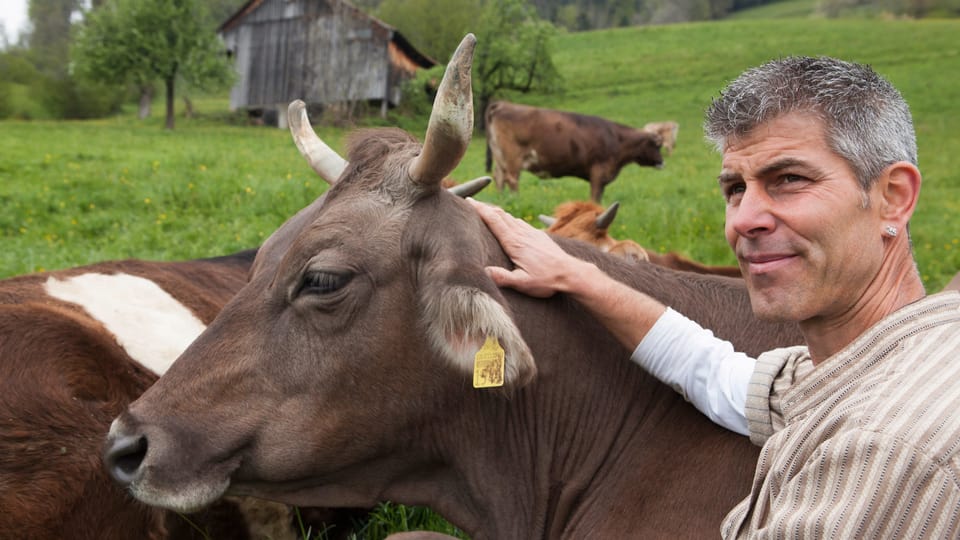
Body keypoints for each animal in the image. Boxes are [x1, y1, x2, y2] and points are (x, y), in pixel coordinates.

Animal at [484, 100, 664, 204]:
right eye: (657, 146)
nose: (662, 162)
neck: (615, 138)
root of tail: (502, 104)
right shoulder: (598, 172)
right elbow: (595, 198)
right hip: (513, 157)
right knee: (512, 179)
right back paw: (516, 200)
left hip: (500, 157)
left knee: (499, 177)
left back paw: (501, 199)